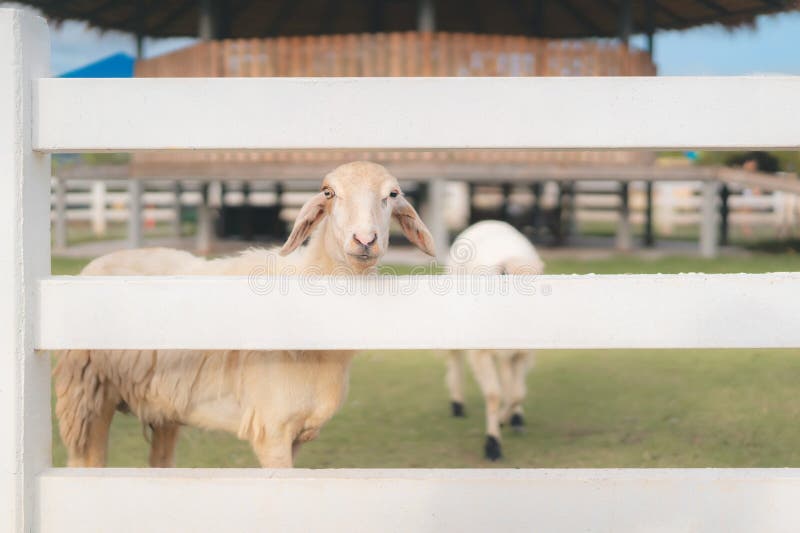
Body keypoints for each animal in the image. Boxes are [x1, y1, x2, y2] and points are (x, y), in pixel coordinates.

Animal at [54, 160, 438, 468]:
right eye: (329, 193)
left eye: (392, 194)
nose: (364, 240)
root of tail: (97, 263)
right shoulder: (272, 429)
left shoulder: (297, 432)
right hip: (87, 396)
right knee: (86, 463)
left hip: (162, 405)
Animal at [444, 218, 544, 460]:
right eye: (504, 278)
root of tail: (489, 221)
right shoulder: (481, 351)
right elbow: (493, 395)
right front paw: (492, 444)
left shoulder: (522, 352)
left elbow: (518, 393)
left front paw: (505, 420)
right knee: (454, 357)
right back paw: (457, 404)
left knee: (510, 380)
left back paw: (515, 419)